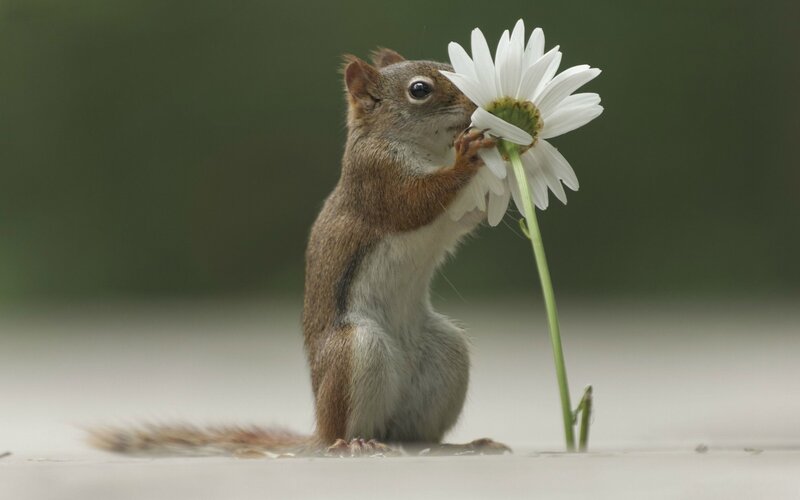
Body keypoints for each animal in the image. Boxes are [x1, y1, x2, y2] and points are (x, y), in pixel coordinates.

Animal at [88, 48, 510, 458]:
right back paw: (355, 443)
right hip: (354, 350)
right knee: (346, 430)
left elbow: (468, 214)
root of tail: (318, 433)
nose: (477, 104)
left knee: (415, 435)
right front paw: (468, 155)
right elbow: (416, 203)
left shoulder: (449, 210)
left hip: (446, 354)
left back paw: (460, 445)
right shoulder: (377, 179)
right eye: (420, 89)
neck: (424, 149)